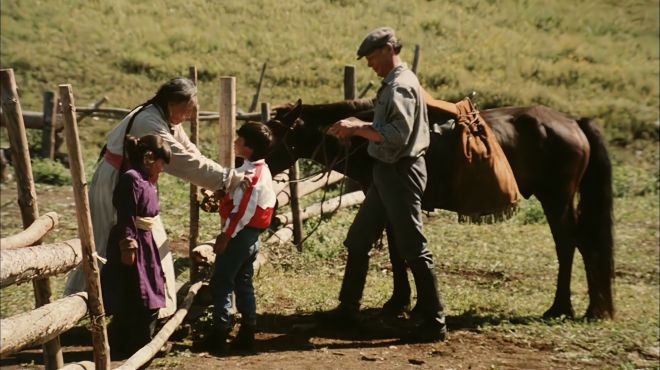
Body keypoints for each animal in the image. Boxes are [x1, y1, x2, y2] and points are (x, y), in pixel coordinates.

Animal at [262, 98, 612, 320]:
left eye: (267, 136)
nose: (248, 165)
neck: (370, 138)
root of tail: (573, 122)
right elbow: (398, 251)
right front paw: (404, 302)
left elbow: (401, 251)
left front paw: (403, 303)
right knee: (583, 244)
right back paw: (593, 308)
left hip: (556, 199)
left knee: (569, 244)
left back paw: (563, 307)